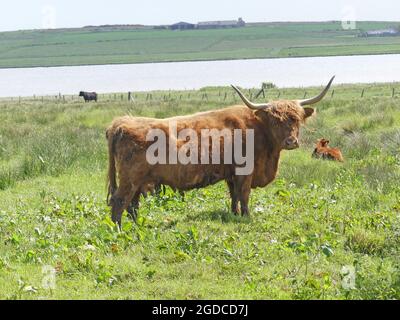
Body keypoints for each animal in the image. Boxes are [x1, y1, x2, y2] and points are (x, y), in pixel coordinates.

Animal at [106, 76, 334, 226]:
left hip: (139, 181)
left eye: (296, 118)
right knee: (120, 201)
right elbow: (244, 195)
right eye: (275, 120)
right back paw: (118, 230)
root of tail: (121, 123)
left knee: (132, 204)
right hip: (131, 178)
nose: (291, 141)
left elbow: (234, 196)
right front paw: (247, 217)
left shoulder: (231, 174)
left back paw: (137, 226)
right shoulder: (245, 172)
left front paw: (235, 214)